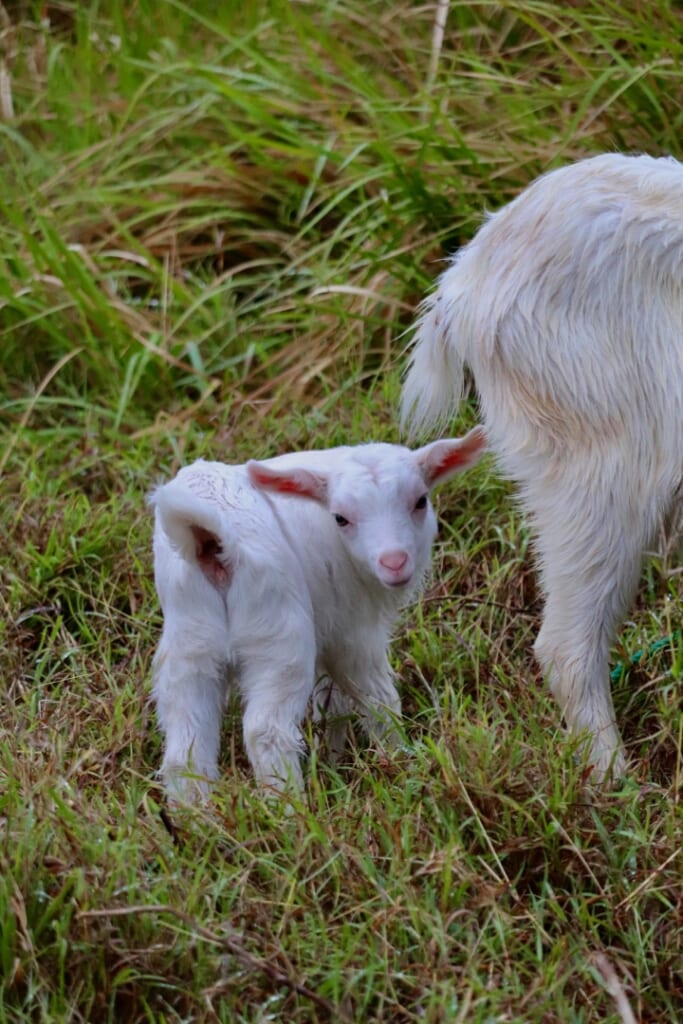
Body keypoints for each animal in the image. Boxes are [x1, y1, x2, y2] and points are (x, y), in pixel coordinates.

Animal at [151, 433, 485, 799]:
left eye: (420, 501)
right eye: (340, 518)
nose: (394, 563)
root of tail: (210, 540)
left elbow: (331, 701)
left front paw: (334, 755)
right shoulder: (352, 629)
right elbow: (377, 697)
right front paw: (399, 759)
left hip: (190, 641)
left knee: (185, 747)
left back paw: (195, 811)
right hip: (277, 633)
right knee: (266, 730)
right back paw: (288, 807)